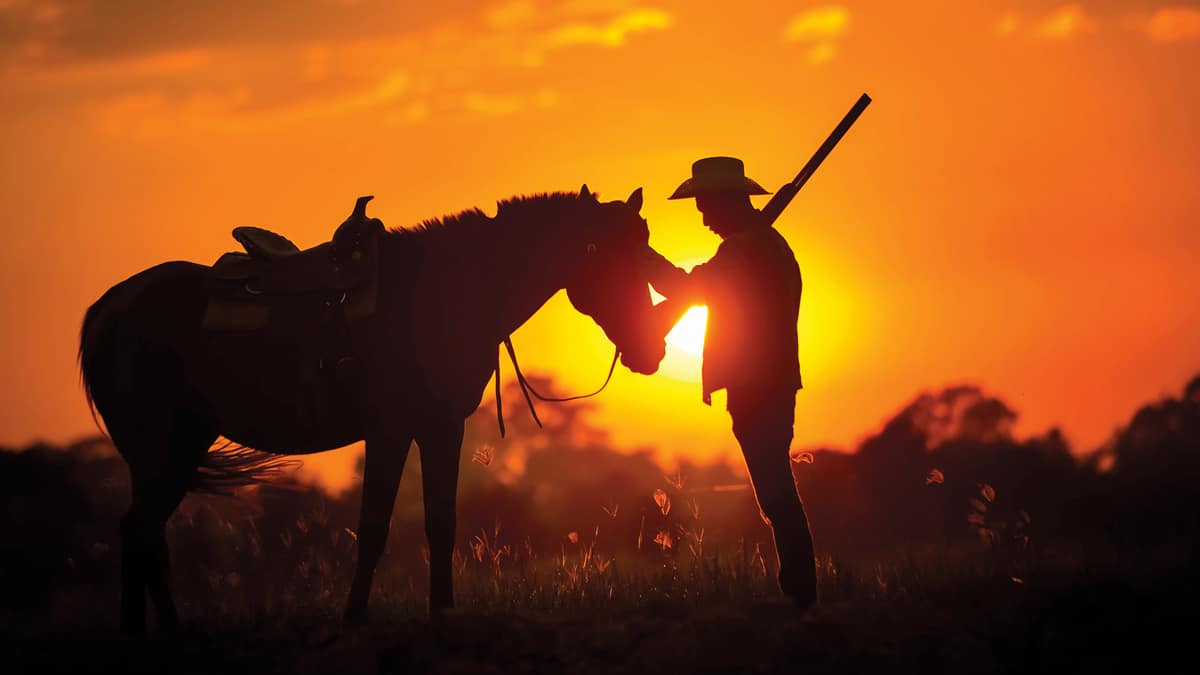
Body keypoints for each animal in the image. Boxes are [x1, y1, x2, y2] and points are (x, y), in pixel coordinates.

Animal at [79, 184, 667, 629]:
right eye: (606, 255)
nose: (652, 349)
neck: (444, 295)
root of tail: (109, 307)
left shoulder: (439, 428)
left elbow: (441, 521)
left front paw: (441, 610)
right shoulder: (394, 430)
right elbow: (376, 525)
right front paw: (357, 615)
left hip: (177, 447)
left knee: (146, 533)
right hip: (161, 451)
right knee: (139, 531)